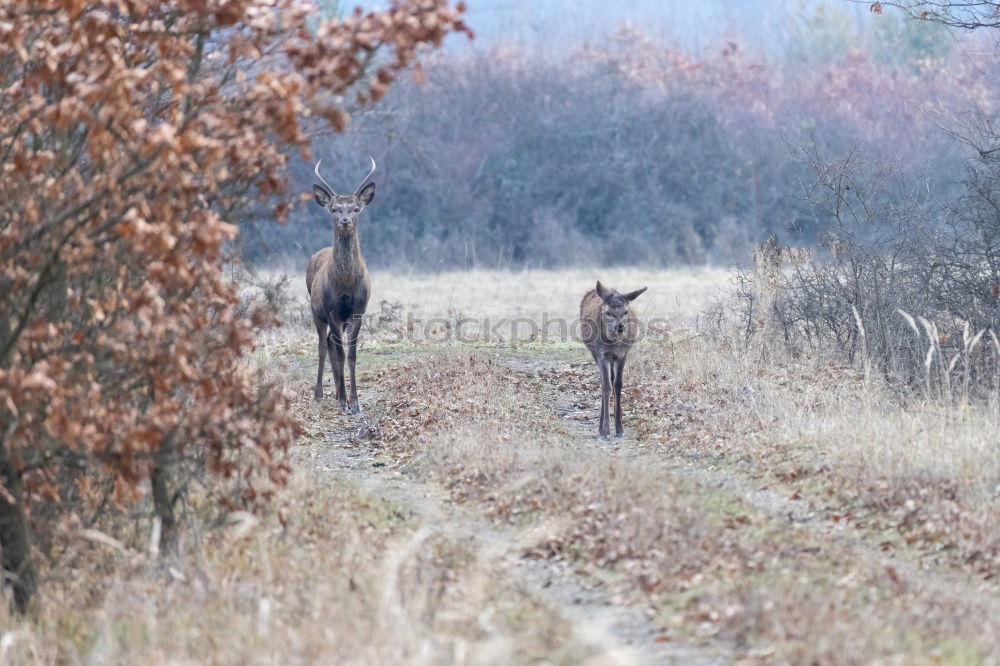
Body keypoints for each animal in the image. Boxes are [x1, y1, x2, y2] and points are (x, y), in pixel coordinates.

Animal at [304, 156, 376, 410]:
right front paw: (345, 401)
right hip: (316, 311)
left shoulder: (357, 310)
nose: (345, 221)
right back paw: (320, 393)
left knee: (330, 343)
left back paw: (336, 391)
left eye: (355, 209)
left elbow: (352, 355)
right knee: (322, 346)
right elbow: (341, 353)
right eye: (334, 209)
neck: (345, 284)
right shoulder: (332, 310)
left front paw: (355, 402)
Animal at [580, 278, 648, 436]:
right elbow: (606, 387)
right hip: (595, 354)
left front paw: (619, 428)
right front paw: (606, 430)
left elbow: (618, 385)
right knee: (603, 381)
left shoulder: (623, 354)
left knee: (612, 380)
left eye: (625, 311)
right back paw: (600, 427)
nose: (620, 327)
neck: (613, 343)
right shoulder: (601, 354)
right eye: (608, 312)